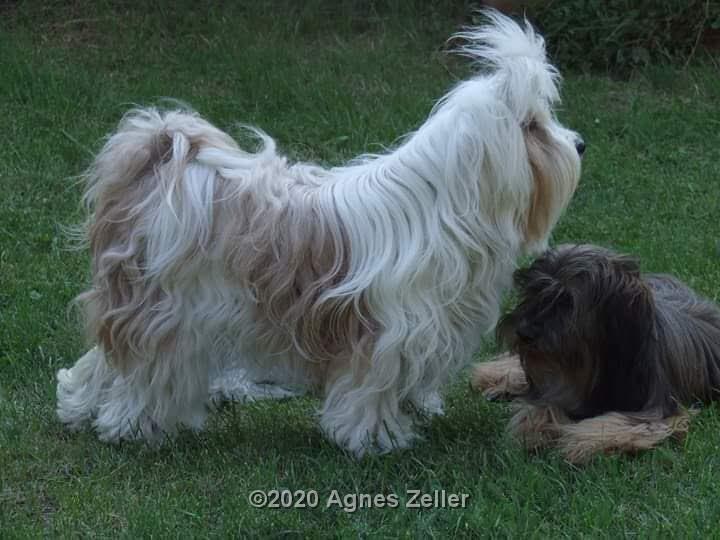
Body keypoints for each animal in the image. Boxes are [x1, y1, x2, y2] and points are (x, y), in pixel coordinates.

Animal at [57, 11, 584, 456]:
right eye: (533, 126)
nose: (579, 142)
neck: (447, 208)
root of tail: (163, 157)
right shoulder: (385, 335)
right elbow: (370, 389)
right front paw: (375, 439)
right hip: (169, 314)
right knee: (144, 372)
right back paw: (133, 426)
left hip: (137, 302)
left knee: (102, 359)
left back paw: (77, 405)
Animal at [472, 245, 720, 460]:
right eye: (533, 292)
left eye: (567, 301)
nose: (523, 332)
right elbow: (542, 407)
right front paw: (533, 431)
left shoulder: (658, 409)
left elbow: (617, 424)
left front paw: (579, 443)